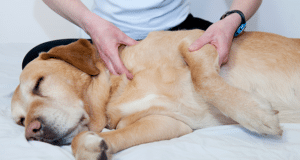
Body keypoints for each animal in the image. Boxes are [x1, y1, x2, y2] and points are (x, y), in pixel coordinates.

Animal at [10, 29, 298, 159]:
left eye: (38, 83)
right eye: (20, 121)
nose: (32, 132)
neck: (117, 91)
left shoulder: (196, 44)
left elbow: (203, 79)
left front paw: (257, 117)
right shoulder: (168, 123)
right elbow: (101, 138)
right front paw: (93, 147)